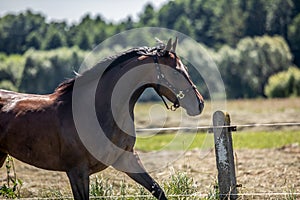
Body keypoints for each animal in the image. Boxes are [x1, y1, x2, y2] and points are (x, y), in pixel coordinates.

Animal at [0, 38, 204, 199]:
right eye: (176, 71)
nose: (200, 104)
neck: (98, 112)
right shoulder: (77, 172)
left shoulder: (126, 158)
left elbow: (158, 190)